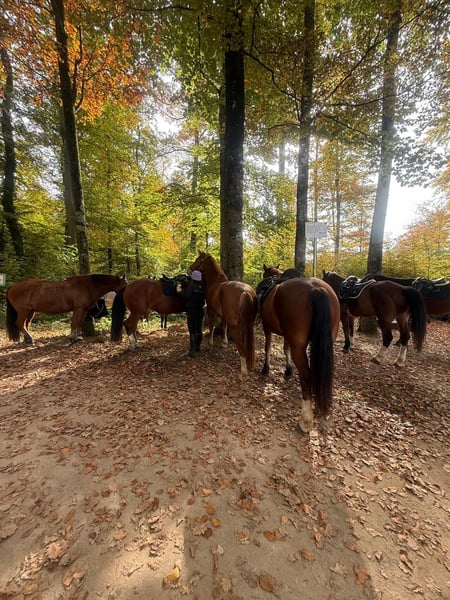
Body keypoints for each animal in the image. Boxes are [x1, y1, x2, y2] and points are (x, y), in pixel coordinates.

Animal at [256, 272, 340, 433]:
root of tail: (316, 289)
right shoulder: (286, 335)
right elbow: (285, 348)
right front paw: (288, 370)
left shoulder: (266, 326)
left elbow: (268, 347)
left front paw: (266, 368)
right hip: (327, 341)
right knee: (321, 372)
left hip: (299, 346)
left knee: (307, 375)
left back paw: (305, 421)